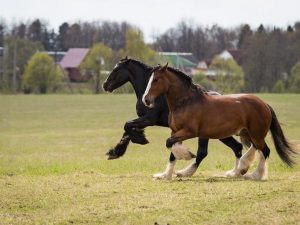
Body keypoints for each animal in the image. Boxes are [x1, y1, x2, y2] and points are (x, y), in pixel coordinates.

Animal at [102, 57, 243, 179]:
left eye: (116, 69)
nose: (105, 85)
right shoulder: (144, 120)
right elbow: (127, 130)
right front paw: (115, 152)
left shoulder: (149, 119)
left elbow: (127, 125)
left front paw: (140, 139)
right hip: (220, 133)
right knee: (237, 147)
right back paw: (235, 172)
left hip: (206, 133)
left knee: (203, 152)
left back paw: (184, 172)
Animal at [144, 63, 298, 181]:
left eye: (156, 79)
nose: (146, 100)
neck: (185, 102)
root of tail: (264, 104)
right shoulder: (175, 131)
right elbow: (172, 150)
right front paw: (165, 175)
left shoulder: (189, 132)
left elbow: (170, 143)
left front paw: (186, 157)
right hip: (246, 133)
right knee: (252, 148)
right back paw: (238, 170)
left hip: (256, 134)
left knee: (264, 150)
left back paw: (254, 175)